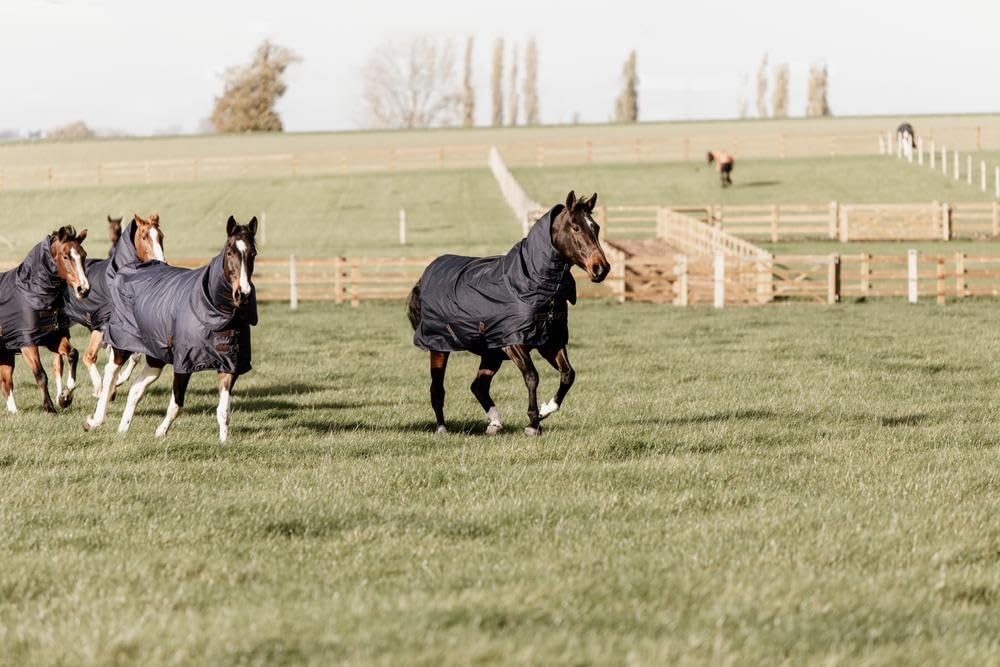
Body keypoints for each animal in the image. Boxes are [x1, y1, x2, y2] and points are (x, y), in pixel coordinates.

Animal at [0, 227, 91, 414]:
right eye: (65, 256)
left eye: (83, 255)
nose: (83, 289)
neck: (31, 293)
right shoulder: (27, 343)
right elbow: (41, 374)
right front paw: (49, 407)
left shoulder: (52, 338)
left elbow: (73, 353)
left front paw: (65, 397)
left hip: (5, 353)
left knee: (6, 384)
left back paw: (15, 413)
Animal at [54, 212, 165, 407]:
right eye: (144, 236)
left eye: (161, 236)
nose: (161, 262)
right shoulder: (102, 325)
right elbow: (90, 357)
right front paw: (100, 390)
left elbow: (134, 356)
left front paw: (115, 385)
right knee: (58, 361)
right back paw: (62, 395)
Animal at [84, 216, 257, 442]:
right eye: (229, 252)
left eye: (253, 253)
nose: (242, 294)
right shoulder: (183, 363)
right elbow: (177, 404)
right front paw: (160, 432)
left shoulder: (230, 365)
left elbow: (224, 411)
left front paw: (223, 441)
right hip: (123, 343)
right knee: (110, 373)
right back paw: (95, 419)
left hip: (155, 357)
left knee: (136, 389)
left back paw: (122, 429)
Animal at [408, 191, 610, 437]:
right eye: (575, 227)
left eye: (596, 227)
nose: (601, 268)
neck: (526, 282)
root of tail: (423, 277)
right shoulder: (513, 343)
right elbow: (532, 376)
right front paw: (533, 423)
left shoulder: (550, 343)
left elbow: (568, 374)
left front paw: (544, 410)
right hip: (440, 346)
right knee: (437, 389)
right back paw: (441, 429)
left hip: (491, 353)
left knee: (478, 386)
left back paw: (495, 424)